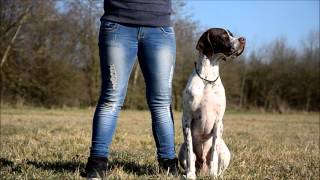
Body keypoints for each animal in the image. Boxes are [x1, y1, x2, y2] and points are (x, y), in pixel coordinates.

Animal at [178, 28, 245, 179]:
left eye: (231, 34)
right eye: (224, 35)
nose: (243, 39)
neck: (207, 79)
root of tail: (202, 167)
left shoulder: (218, 121)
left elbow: (214, 154)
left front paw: (213, 175)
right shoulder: (187, 119)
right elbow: (190, 153)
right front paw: (190, 175)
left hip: (225, 152)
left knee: (218, 163)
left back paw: (216, 174)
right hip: (181, 150)